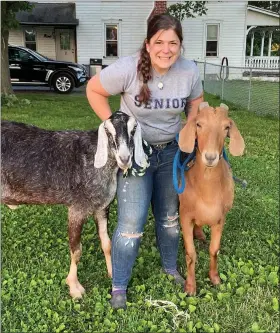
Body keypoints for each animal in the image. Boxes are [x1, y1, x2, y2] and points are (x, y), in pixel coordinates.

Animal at [1, 110, 147, 296]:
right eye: (108, 132)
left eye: (133, 129)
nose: (125, 158)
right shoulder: (77, 209)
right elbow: (77, 250)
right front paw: (74, 287)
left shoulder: (102, 207)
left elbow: (107, 243)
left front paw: (112, 273)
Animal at [178, 101, 244, 294]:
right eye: (199, 124)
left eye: (226, 127)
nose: (210, 157)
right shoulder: (185, 215)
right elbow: (190, 253)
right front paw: (190, 286)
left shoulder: (220, 218)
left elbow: (214, 250)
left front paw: (215, 278)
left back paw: (199, 234)